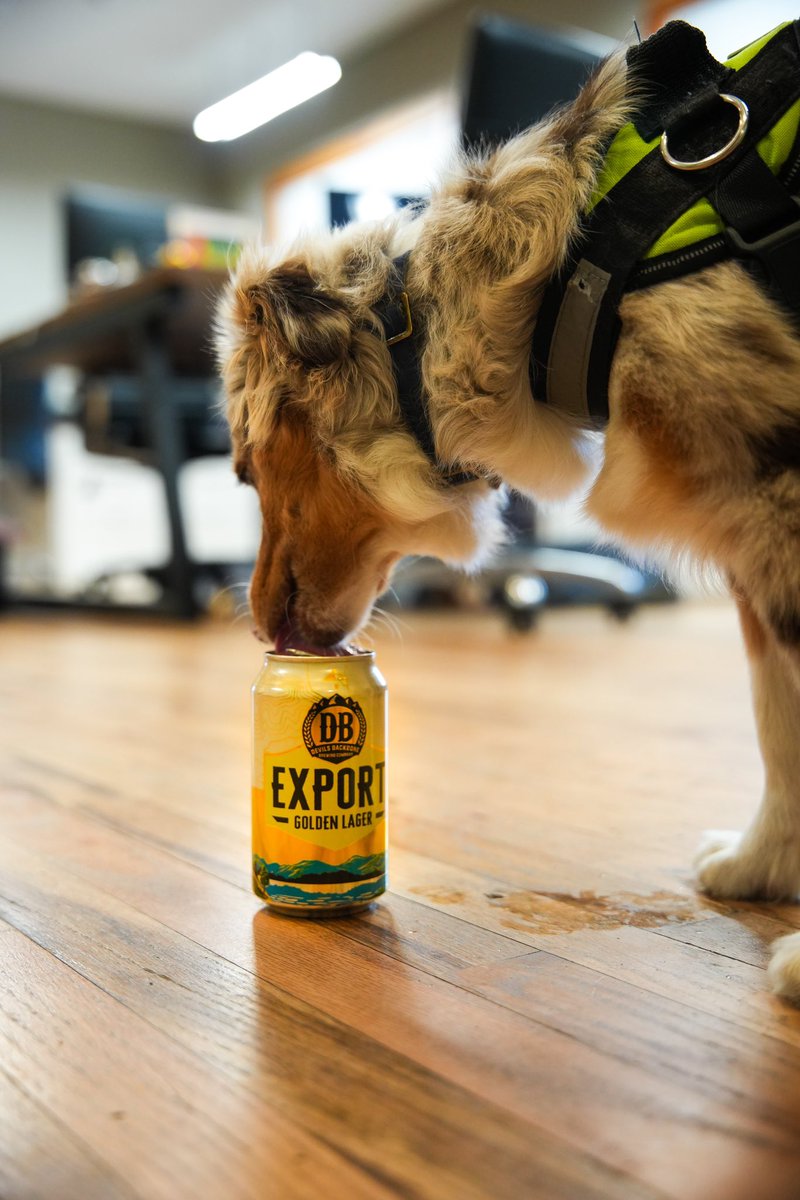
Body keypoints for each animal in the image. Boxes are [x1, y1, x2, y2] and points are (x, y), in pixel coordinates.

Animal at [215, 28, 800, 1003]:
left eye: (247, 468)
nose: (262, 635)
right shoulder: (750, 533)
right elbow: (775, 717)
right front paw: (763, 864)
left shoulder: (774, 510)